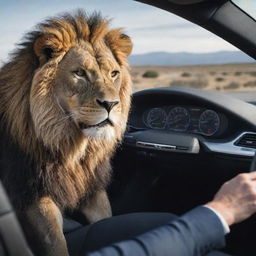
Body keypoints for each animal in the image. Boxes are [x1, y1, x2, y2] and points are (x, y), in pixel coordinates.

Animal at [0, 10, 132, 256]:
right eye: (80, 73)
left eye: (113, 73)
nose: (111, 104)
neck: (71, 149)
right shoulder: (33, 193)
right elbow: (55, 241)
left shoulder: (91, 188)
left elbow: (105, 217)